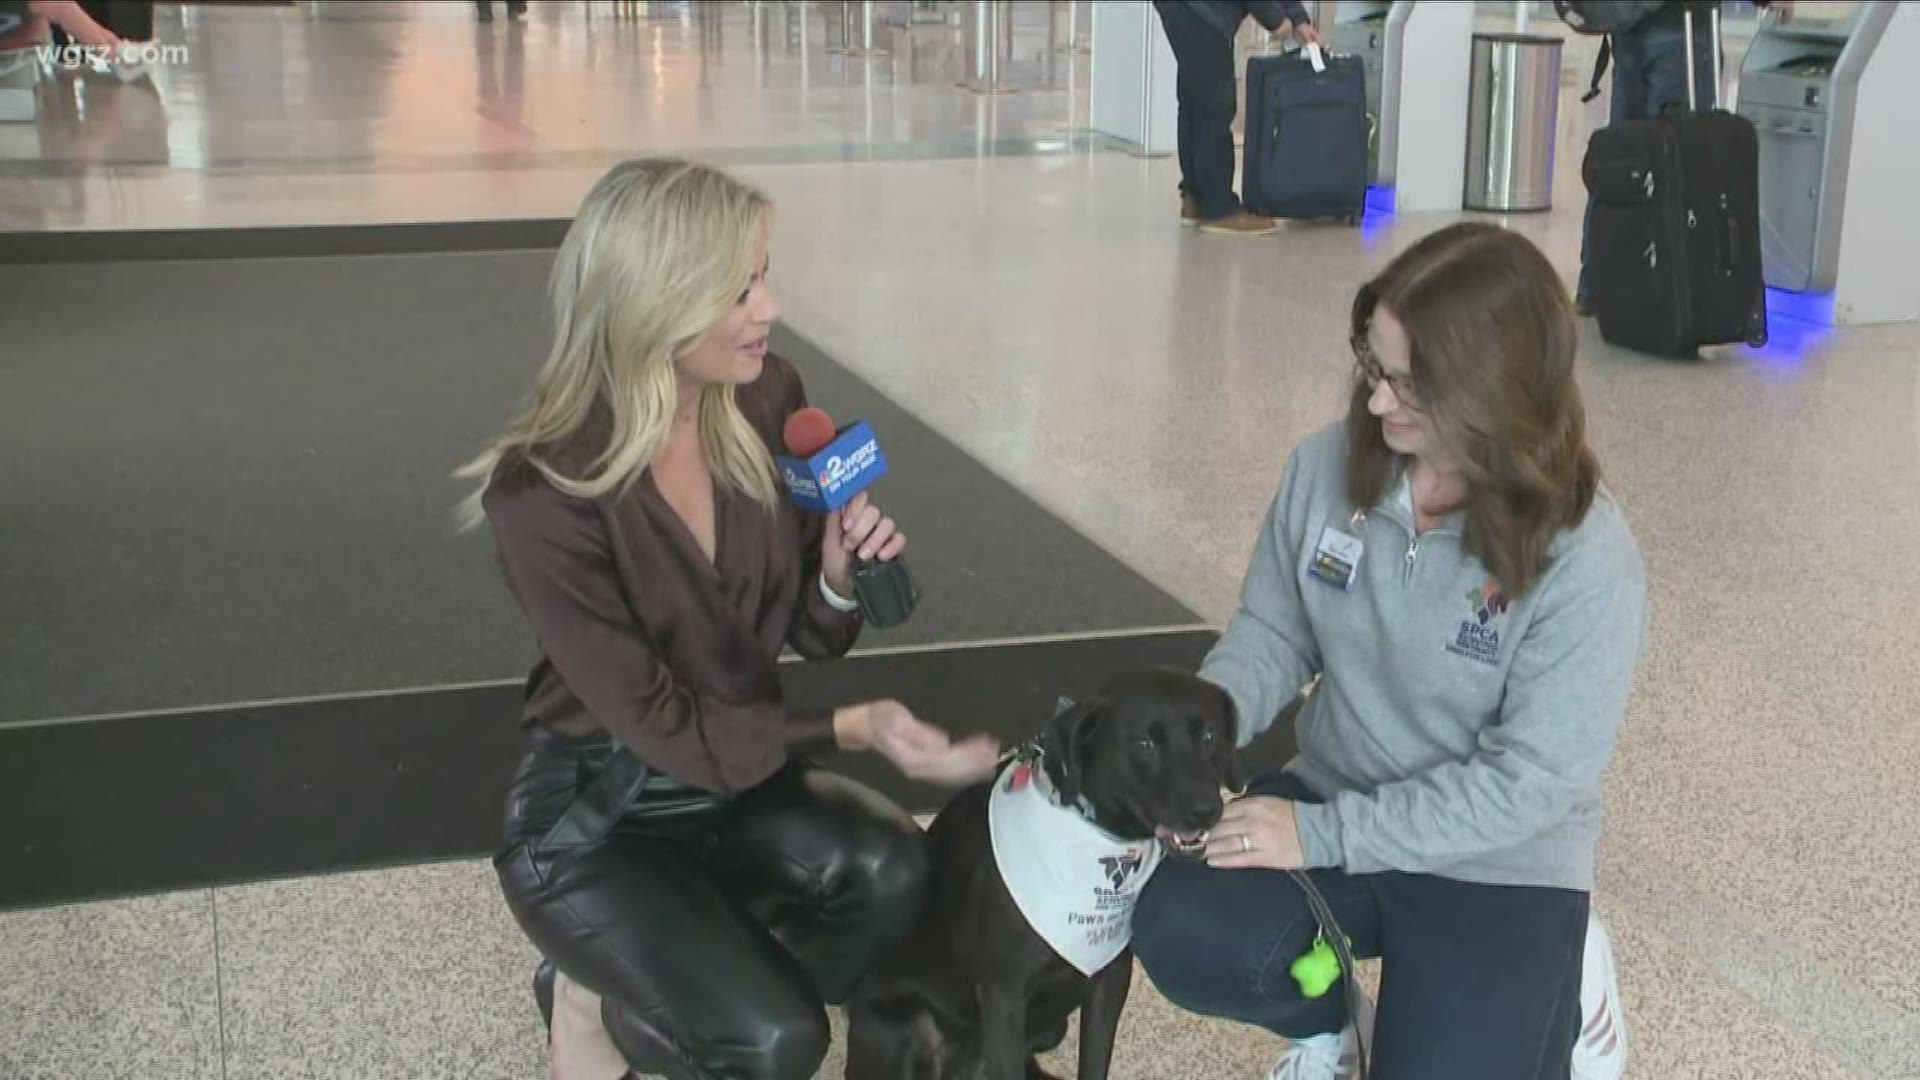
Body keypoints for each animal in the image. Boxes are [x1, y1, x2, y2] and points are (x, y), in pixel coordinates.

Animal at [844, 664, 1236, 1076]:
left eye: (1209, 736)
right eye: (1144, 743)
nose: (1206, 810)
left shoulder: (1110, 976)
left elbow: (1095, 1061)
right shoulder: (1005, 995)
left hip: (1050, 1029)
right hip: (905, 1025)